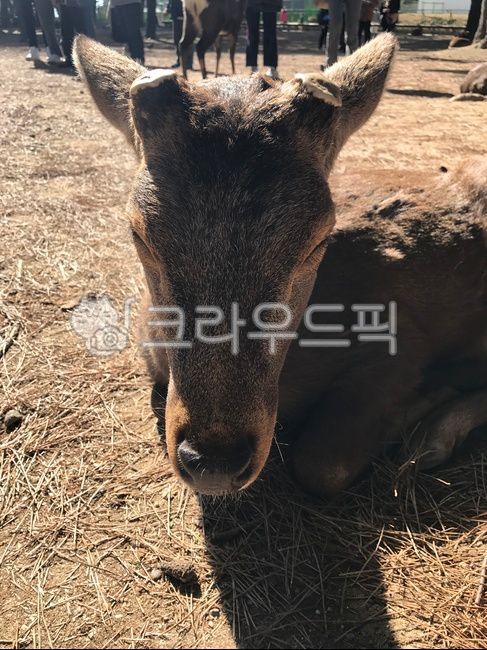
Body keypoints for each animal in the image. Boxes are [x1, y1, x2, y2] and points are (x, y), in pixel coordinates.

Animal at [73, 34, 487, 499]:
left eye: (318, 238)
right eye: (139, 232)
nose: (215, 461)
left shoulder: (402, 339)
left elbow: (321, 465)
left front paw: (419, 404)